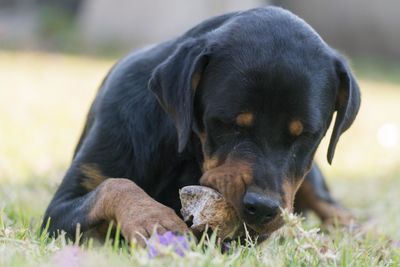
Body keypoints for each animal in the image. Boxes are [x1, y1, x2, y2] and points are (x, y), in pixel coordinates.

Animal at [42, 6, 360, 245]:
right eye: (230, 125)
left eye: (306, 135)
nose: (263, 208)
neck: (183, 154)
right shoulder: (58, 210)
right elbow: (114, 185)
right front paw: (153, 218)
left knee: (331, 204)